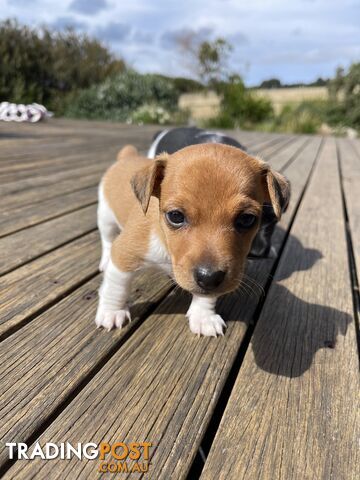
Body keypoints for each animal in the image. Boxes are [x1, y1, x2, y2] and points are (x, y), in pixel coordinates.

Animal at [95, 144, 290, 336]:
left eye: (247, 219)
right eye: (175, 216)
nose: (209, 277)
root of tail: (128, 156)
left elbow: (206, 297)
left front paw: (203, 317)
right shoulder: (123, 255)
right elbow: (116, 287)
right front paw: (112, 312)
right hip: (105, 218)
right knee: (107, 241)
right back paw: (104, 261)